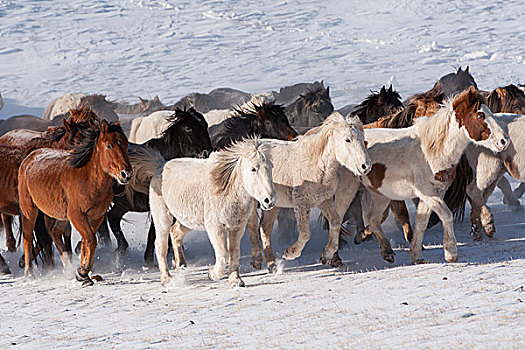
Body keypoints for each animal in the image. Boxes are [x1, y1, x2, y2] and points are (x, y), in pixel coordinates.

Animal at [17, 120, 132, 284]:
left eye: (126, 144)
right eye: (109, 146)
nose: (126, 174)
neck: (88, 180)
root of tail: (29, 159)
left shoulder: (96, 217)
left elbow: (86, 242)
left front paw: (81, 274)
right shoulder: (77, 216)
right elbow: (91, 240)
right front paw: (83, 272)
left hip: (60, 216)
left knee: (55, 232)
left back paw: (67, 266)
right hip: (29, 210)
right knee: (27, 239)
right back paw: (29, 273)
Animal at [149, 137, 276, 288]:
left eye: (271, 167)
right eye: (253, 169)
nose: (269, 200)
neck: (227, 191)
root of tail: (160, 167)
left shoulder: (236, 228)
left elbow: (234, 253)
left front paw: (236, 280)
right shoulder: (215, 228)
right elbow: (223, 255)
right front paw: (212, 274)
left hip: (188, 221)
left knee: (175, 233)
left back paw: (181, 265)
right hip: (162, 219)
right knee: (160, 245)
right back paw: (166, 279)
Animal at [249, 112, 368, 270]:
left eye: (362, 137)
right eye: (347, 139)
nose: (365, 166)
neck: (317, 164)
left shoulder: (324, 201)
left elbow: (335, 222)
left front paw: (326, 255)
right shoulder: (301, 203)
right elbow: (305, 233)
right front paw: (289, 253)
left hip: (271, 206)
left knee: (264, 228)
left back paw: (271, 265)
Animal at [360, 86, 508, 264]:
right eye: (480, 115)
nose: (504, 141)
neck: (429, 150)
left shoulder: (431, 194)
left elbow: (421, 223)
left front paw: (416, 255)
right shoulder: (427, 193)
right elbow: (446, 215)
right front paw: (450, 253)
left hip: (381, 194)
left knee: (373, 219)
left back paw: (386, 251)